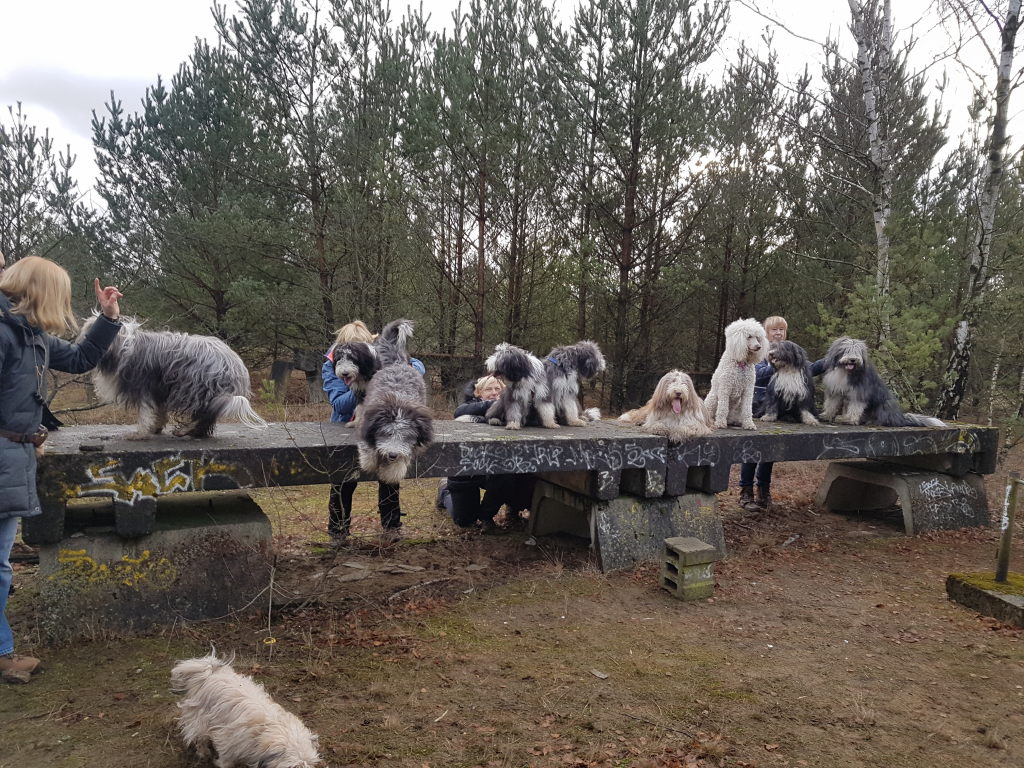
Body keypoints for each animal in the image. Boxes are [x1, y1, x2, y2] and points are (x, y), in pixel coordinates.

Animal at [82, 315, 266, 442]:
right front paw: (156, 427)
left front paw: (140, 433)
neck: (123, 345)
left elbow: (144, 412)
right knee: (208, 415)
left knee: (203, 413)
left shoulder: (144, 386)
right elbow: (159, 410)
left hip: (193, 387)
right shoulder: (159, 388)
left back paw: (183, 431)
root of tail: (236, 366)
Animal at [171, 655, 319, 768]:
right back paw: (204, 753)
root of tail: (209, 673)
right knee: (199, 737)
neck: (265, 729)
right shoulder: (228, 742)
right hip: (200, 720)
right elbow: (226, 761)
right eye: (293, 767)